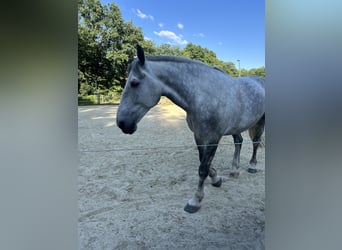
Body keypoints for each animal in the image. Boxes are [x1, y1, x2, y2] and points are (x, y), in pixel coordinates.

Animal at [117, 45, 264, 213]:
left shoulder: (213, 138)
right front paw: (216, 179)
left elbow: (203, 168)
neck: (202, 95)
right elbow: (203, 163)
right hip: (236, 126)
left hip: (261, 121)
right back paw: (234, 170)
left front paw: (195, 201)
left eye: (134, 83)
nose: (121, 123)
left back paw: (252, 166)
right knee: (238, 142)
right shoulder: (199, 136)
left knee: (255, 143)